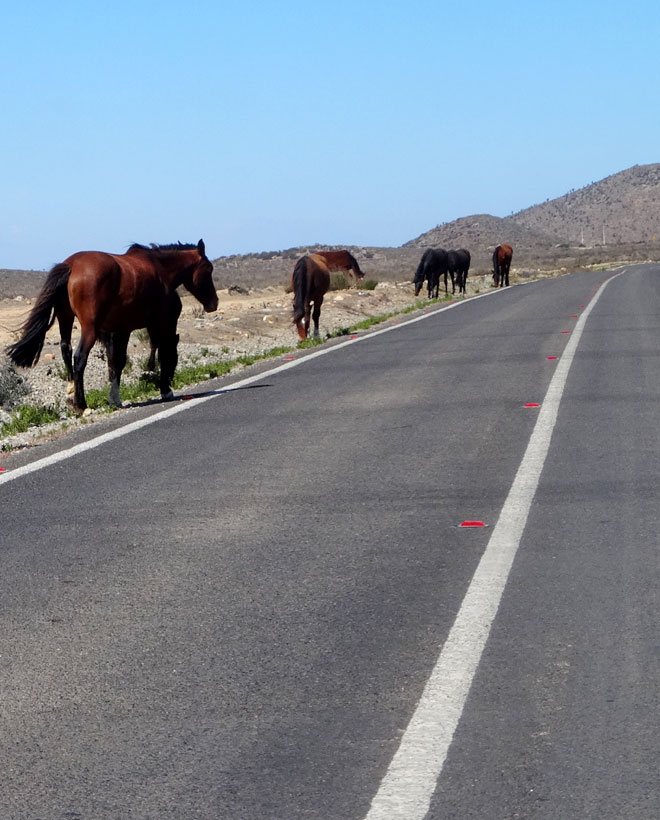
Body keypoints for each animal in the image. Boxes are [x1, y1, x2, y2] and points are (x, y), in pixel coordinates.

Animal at [6, 240, 217, 413]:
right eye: (208, 268)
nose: (213, 303)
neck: (161, 270)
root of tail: (71, 265)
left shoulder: (120, 330)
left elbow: (118, 361)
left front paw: (115, 398)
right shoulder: (159, 324)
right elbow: (161, 353)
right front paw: (164, 390)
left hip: (65, 319)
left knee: (66, 350)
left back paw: (70, 395)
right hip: (89, 328)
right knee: (79, 358)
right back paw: (81, 405)